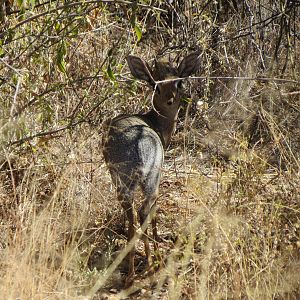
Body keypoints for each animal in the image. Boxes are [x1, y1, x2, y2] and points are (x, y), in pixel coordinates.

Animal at [102, 51, 200, 284]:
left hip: (122, 185)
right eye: (156, 85)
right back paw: (151, 263)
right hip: (150, 182)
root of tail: (137, 149)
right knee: (145, 211)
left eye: (179, 81)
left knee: (132, 216)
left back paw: (130, 274)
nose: (170, 100)